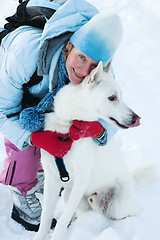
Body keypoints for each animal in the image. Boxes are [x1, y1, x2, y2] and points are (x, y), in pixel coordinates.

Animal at [34, 61, 154, 240]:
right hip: (69, 193)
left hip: (118, 204)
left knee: (104, 213)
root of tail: (133, 184)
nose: (137, 118)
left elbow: (62, 220)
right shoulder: (52, 178)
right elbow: (45, 218)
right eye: (112, 98)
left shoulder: (81, 179)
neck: (69, 125)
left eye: (121, 96)